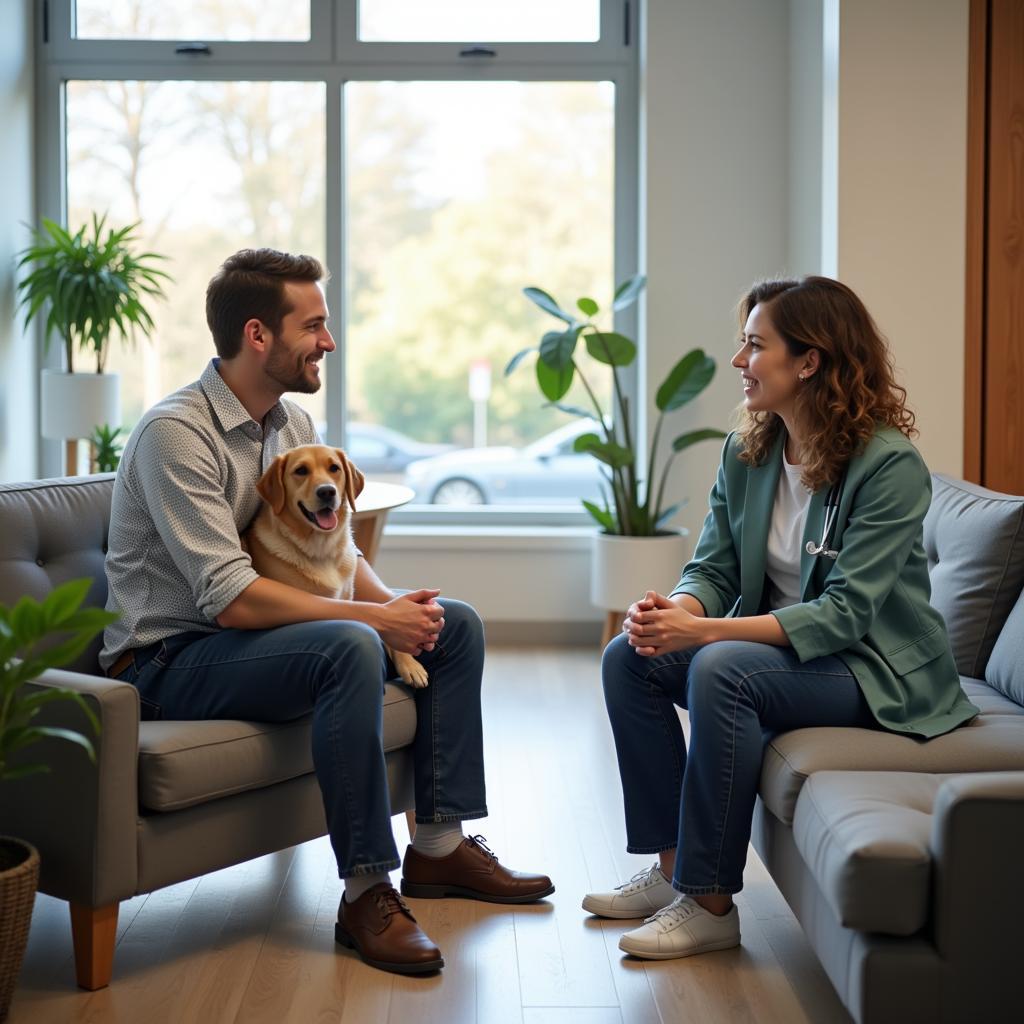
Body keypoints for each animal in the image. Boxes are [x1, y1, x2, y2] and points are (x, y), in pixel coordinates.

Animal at [243, 442, 428, 688]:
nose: (327, 491)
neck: (322, 550)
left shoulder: (349, 599)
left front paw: (410, 664)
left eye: (334, 468)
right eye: (301, 471)